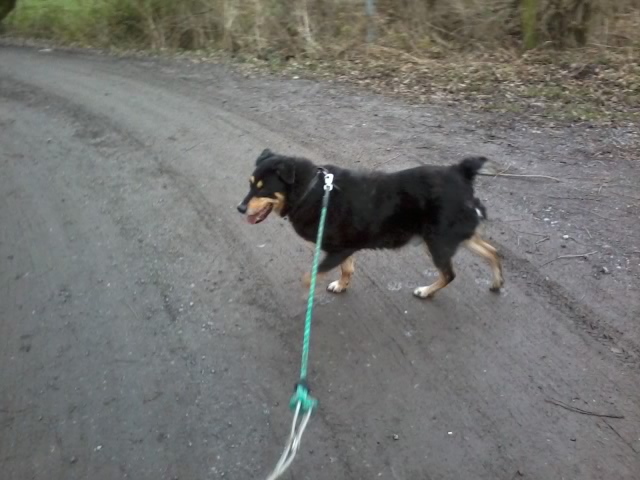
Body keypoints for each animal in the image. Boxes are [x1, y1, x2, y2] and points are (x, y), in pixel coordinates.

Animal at [238, 148, 502, 298]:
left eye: (263, 189)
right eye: (250, 184)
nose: (240, 208)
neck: (312, 190)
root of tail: (460, 172)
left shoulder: (338, 250)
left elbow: (309, 277)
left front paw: (307, 299)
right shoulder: (342, 248)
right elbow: (347, 269)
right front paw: (341, 285)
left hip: (436, 242)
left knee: (449, 274)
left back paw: (426, 291)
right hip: (455, 236)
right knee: (492, 251)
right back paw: (497, 282)